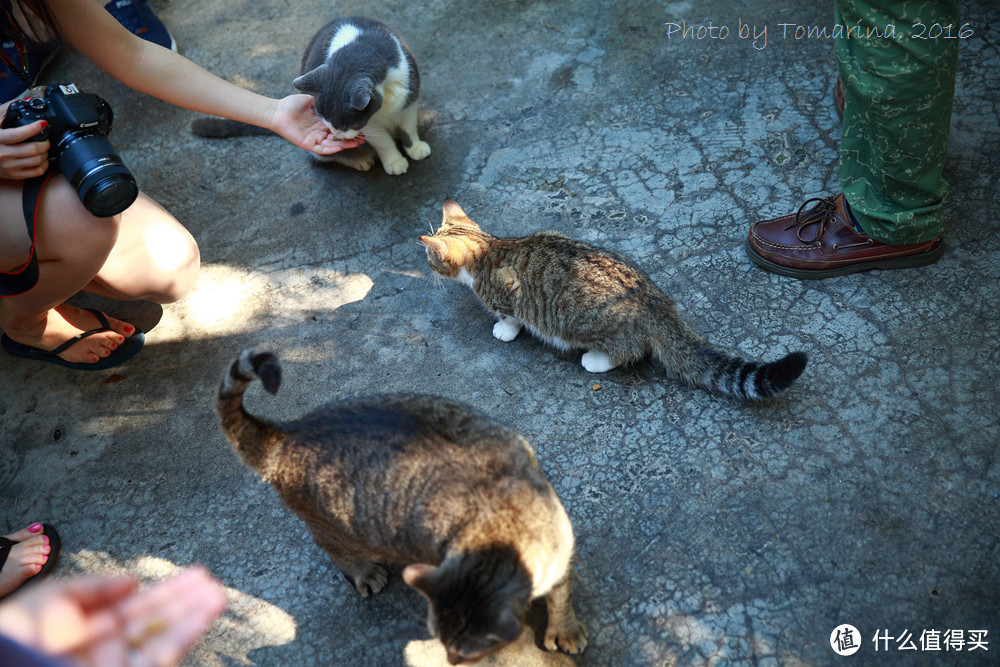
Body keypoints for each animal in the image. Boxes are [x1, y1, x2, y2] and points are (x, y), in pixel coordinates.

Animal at [191, 16, 430, 176]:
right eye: (325, 119)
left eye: (346, 123)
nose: (337, 134)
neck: (360, 49)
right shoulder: (370, 125)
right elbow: (383, 143)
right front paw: (394, 161)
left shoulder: (409, 97)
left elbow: (408, 129)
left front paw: (416, 148)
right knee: (325, 157)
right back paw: (359, 161)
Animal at [213, 350, 584, 664]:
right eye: (441, 642)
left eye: (466, 651)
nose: (451, 661)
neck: (500, 524)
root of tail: (288, 433)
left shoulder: (562, 548)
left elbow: (561, 595)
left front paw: (564, 628)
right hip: (340, 529)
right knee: (338, 551)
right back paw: (365, 572)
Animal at [418, 200, 808, 402]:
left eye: (430, 258)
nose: (426, 268)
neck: (488, 247)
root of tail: (656, 303)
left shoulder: (508, 289)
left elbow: (511, 315)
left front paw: (504, 328)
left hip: (589, 324)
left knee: (628, 352)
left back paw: (595, 359)